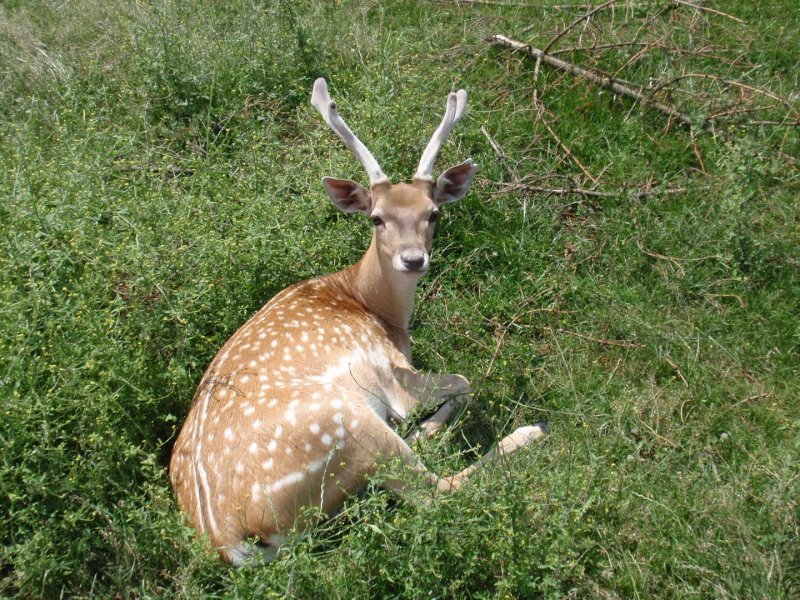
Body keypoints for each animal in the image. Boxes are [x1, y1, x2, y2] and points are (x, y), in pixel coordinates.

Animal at [167, 77, 544, 564]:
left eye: (433, 213)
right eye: (376, 218)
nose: (413, 259)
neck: (370, 305)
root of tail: (231, 541)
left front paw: (429, 427)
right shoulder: (391, 373)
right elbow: (464, 381)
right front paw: (433, 422)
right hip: (347, 424)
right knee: (436, 491)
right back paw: (527, 433)